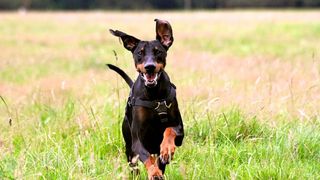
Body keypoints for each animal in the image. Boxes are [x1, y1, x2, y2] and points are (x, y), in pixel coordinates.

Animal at [107, 19, 184, 179]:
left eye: (158, 51)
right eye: (139, 53)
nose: (150, 67)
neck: (153, 94)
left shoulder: (180, 132)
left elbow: (170, 131)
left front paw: (167, 149)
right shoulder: (137, 142)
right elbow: (147, 157)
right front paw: (154, 172)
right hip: (129, 149)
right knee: (135, 165)